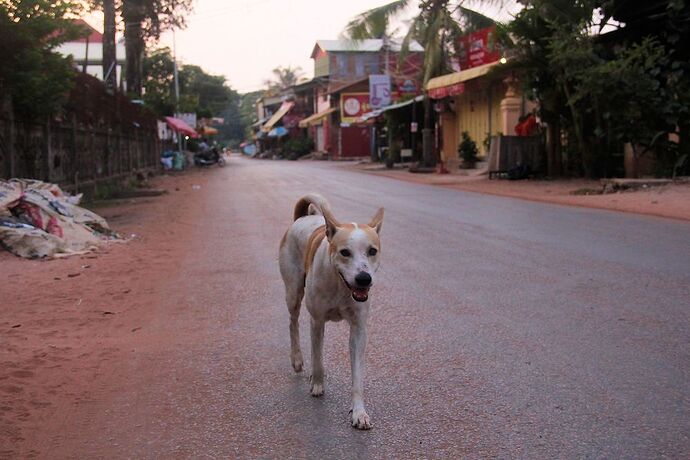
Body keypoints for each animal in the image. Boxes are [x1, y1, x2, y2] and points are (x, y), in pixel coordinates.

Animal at [276, 193, 382, 428]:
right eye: (345, 252)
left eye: (372, 251)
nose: (364, 278)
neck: (340, 284)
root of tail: (302, 218)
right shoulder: (317, 320)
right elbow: (317, 357)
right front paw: (317, 384)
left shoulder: (359, 329)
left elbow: (358, 376)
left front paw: (359, 412)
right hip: (293, 291)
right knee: (292, 322)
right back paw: (297, 359)